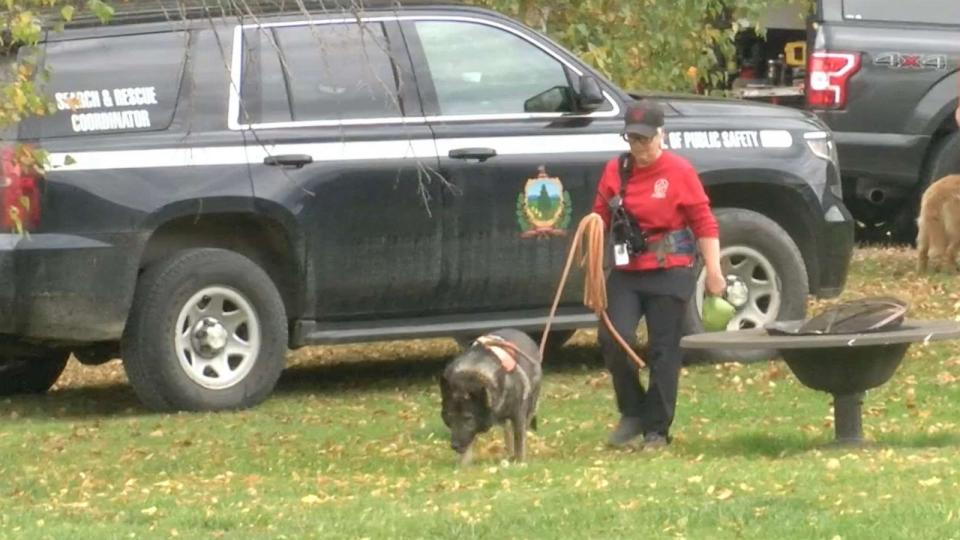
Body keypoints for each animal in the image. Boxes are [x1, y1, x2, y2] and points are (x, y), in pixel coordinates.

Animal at [440, 326, 544, 466]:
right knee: (507, 432)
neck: (475, 373)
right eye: (450, 416)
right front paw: (464, 465)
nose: (454, 445)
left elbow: (519, 441)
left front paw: (520, 462)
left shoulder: (518, 416)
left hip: (530, 406)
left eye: (468, 418)